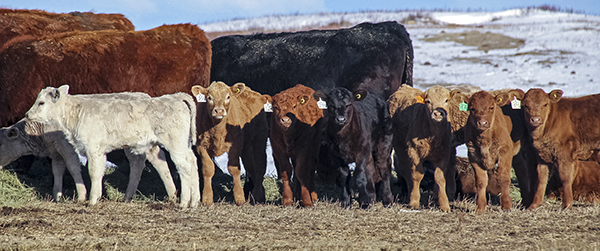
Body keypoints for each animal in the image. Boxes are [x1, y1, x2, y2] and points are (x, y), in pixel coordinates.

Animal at [26, 86, 199, 208]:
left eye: (41, 102)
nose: (27, 114)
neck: (75, 112)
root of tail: (174, 97)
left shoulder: (93, 149)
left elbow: (93, 172)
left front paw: (91, 200)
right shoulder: (100, 151)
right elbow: (99, 172)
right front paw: (96, 196)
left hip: (175, 145)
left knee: (184, 167)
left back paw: (184, 202)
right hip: (177, 145)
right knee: (192, 162)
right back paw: (194, 201)